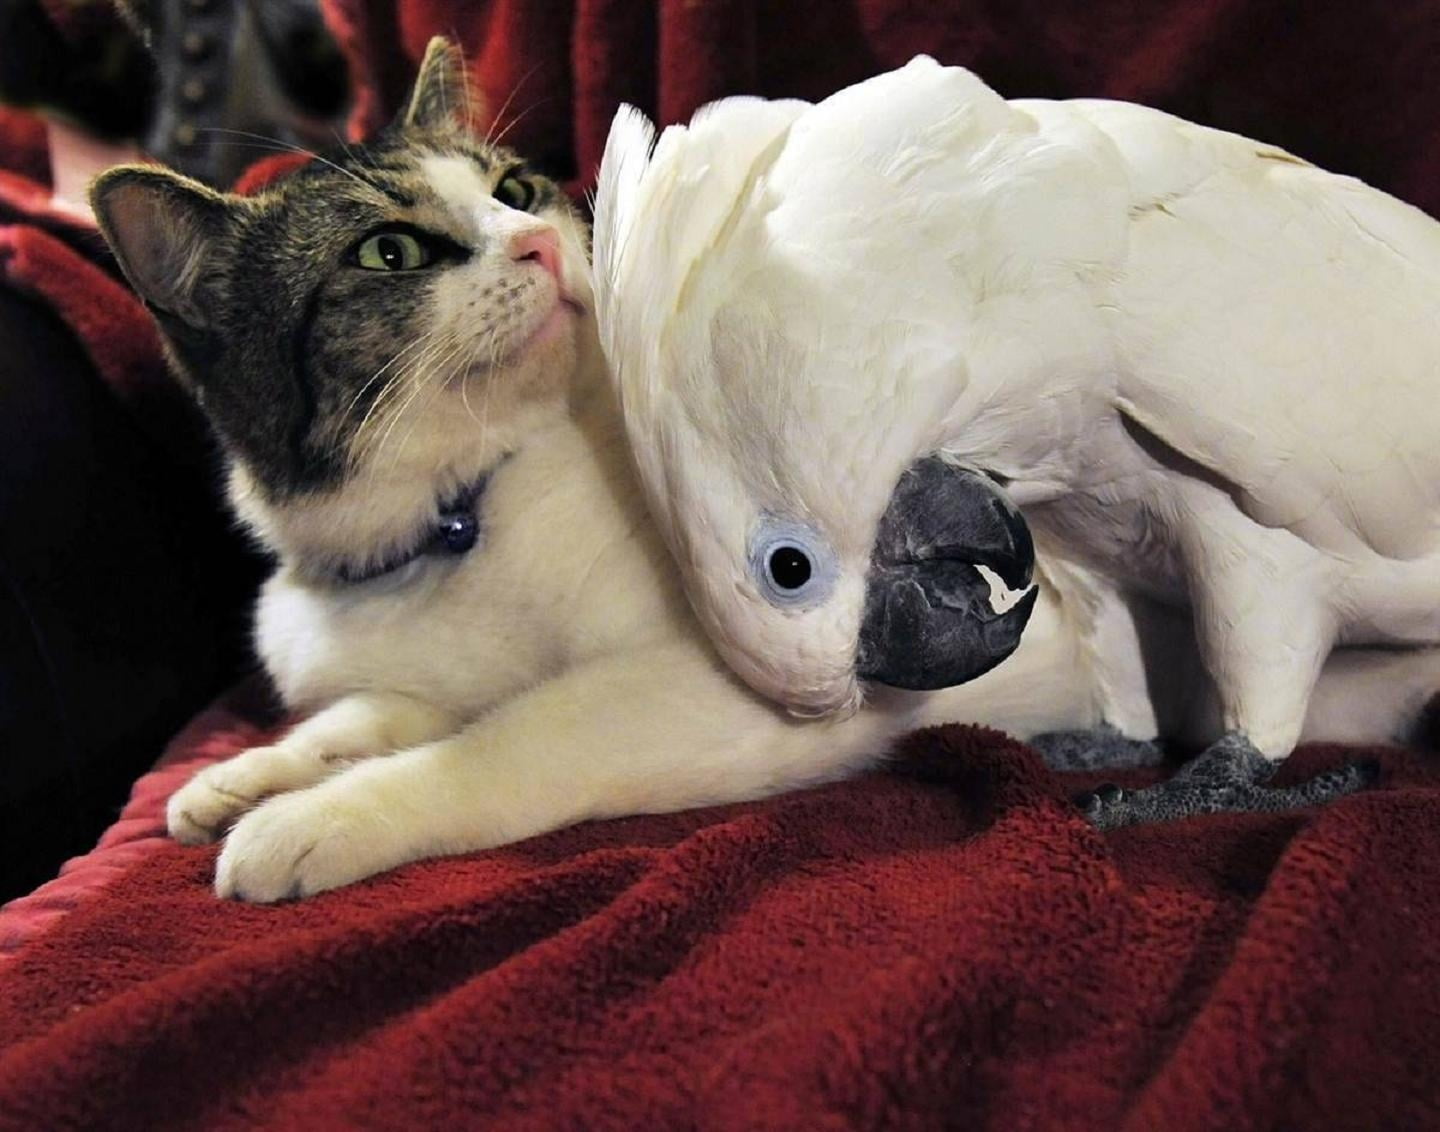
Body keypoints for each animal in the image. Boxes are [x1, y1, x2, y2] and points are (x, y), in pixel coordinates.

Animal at [87, 37, 1440, 898]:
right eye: (388, 251)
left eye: (784, 565)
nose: (534, 245)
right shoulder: (1096, 542)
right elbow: (374, 714)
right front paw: (238, 781)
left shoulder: (1234, 531)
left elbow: (507, 748)